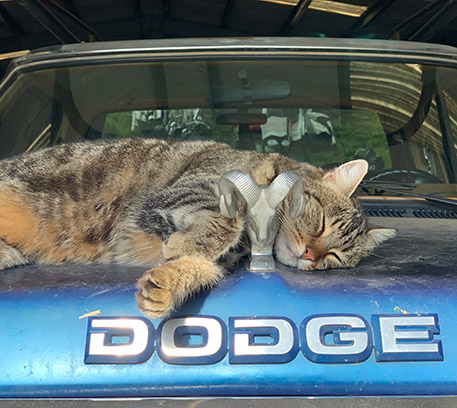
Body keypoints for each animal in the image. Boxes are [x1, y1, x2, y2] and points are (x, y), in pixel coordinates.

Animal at [0, 137, 394, 318]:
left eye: (335, 257)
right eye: (322, 223)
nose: (311, 255)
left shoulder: (226, 257)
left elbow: (204, 266)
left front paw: (169, 281)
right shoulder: (188, 189)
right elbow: (228, 219)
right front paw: (181, 245)